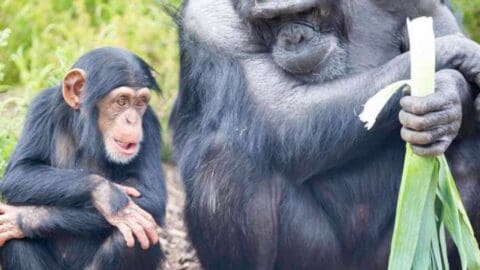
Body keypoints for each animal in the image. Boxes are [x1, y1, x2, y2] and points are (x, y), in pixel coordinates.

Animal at [0, 47, 167, 268]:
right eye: (121, 101)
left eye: (140, 102)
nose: (132, 120)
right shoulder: (41, 107)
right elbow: (20, 171)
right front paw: (108, 195)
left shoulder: (149, 122)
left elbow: (151, 198)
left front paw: (20, 217)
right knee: (16, 240)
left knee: (134, 236)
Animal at [172, 0, 480, 268]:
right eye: (272, 19)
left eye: (305, 11)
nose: (295, 37)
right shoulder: (209, 22)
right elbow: (281, 109)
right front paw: (452, 55)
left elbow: (434, 22)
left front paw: (447, 102)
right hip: (312, 256)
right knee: (225, 159)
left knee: (470, 157)